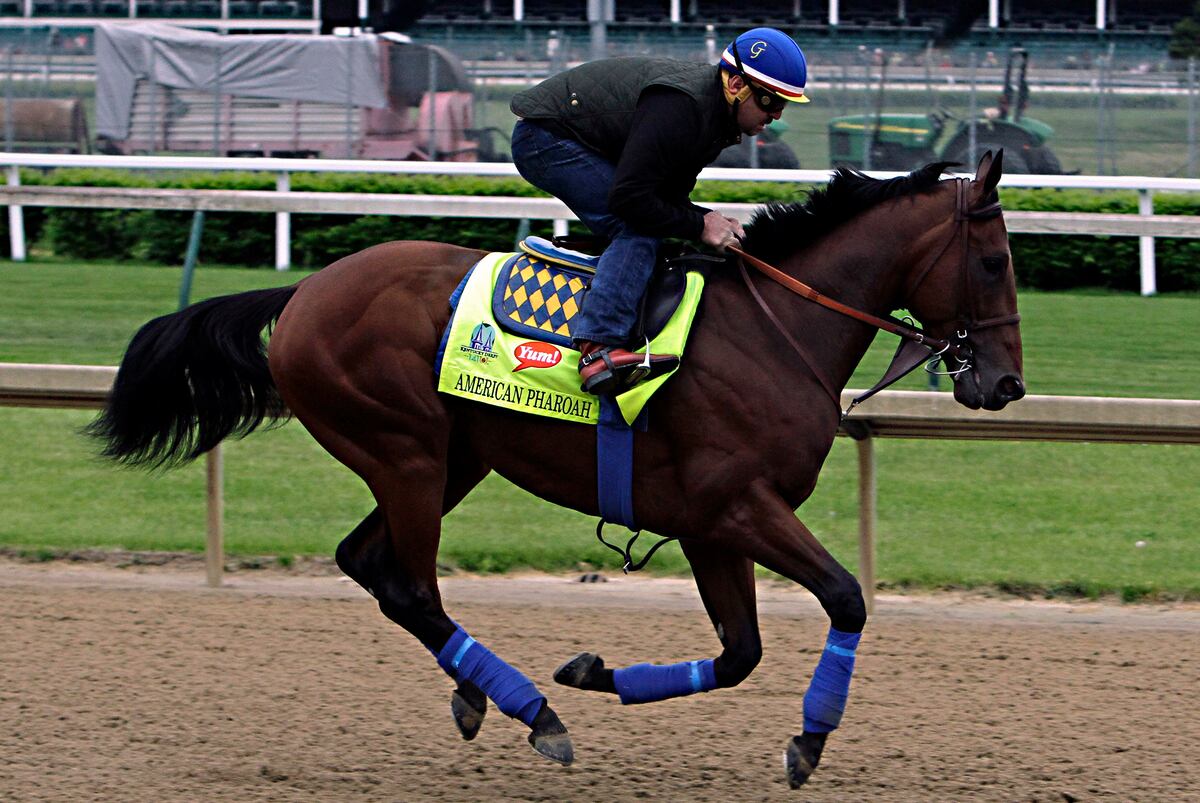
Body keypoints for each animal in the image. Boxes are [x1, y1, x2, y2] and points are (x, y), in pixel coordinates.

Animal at [87, 152, 1024, 789]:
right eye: (993, 262)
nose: (1006, 384)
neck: (773, 330)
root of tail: (303, 292)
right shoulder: (737, 507)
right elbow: (844, 597)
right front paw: (809, 739)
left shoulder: (708, 527)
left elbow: (741, 651)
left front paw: (594, 670)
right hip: (406, 451)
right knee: (409, 585)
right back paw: (531, 709)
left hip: (450, 458)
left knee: (369, 563)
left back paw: (483, 692)